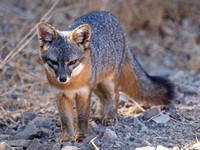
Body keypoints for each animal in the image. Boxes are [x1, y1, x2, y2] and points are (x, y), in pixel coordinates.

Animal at [36, 11, 174, 143]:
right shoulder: (61, 96)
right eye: (54, 62)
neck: (70, 86)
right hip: (96, 83)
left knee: (114, 96)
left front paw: (81, 136)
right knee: (102, 98)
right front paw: (68, 137)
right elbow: (65, 120)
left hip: (108, 83)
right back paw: (98, 115)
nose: (63, 79)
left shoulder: (84, 93)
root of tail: (108, 15)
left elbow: (81, 118)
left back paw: (110, 117)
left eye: (72, 62)